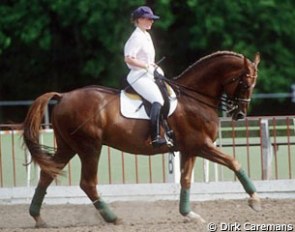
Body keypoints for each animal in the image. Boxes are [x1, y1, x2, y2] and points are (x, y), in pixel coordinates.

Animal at [22, 50, 262, 227]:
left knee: (47, 175)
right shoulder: (201, 144)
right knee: (87, 183)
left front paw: (188, 214)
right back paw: (113, 218)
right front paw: (255, 200)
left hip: (68, 147)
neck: (194, 98)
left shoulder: (190, 149)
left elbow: (185, 180)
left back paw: (38, 218)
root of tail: (63, 96)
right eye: (245, 84)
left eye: (253, 85)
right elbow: (234, 162)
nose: (240, 115)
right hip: (90, 147)